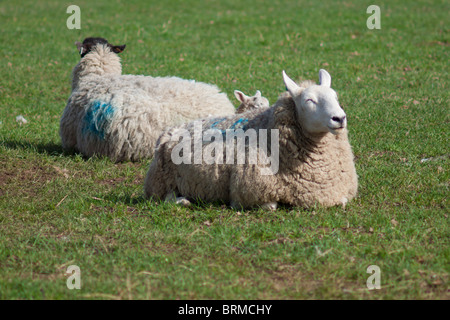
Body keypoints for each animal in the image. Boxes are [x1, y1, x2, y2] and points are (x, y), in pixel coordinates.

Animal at [144, 68, 358, 210]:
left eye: (335, 97)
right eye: (309, 100)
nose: (339, 118)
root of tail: (172, 130)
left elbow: (342, 201)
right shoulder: (250, 190)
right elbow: (269, 206)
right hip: (162, 181)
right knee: (166, 198)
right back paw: (183, 200)